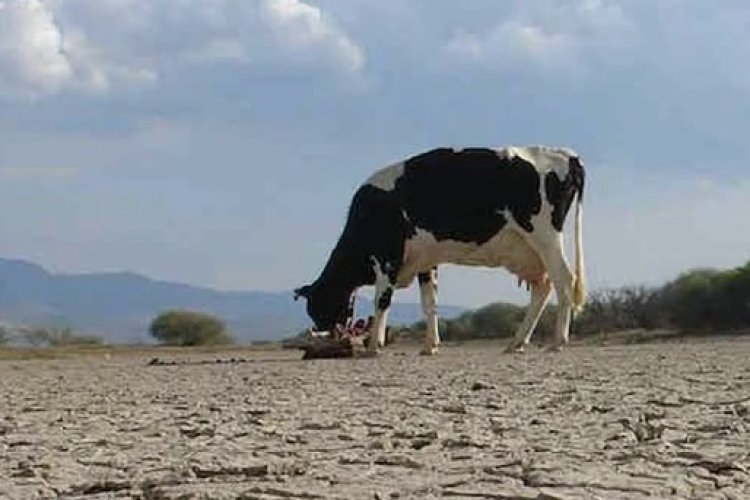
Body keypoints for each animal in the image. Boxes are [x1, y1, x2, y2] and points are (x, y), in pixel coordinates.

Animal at [296, 146, 588, 356]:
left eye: (317, 306)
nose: (325, 335)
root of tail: (566, 154)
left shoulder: (387, 258)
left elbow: (382, 300)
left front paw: (373, 345)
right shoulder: (426, 261)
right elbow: (430, 302)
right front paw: (429, 345)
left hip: (545, 237)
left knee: (564, 280)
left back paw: (557, 341)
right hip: (529, 250)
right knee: (543, 286)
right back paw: (517, 342)